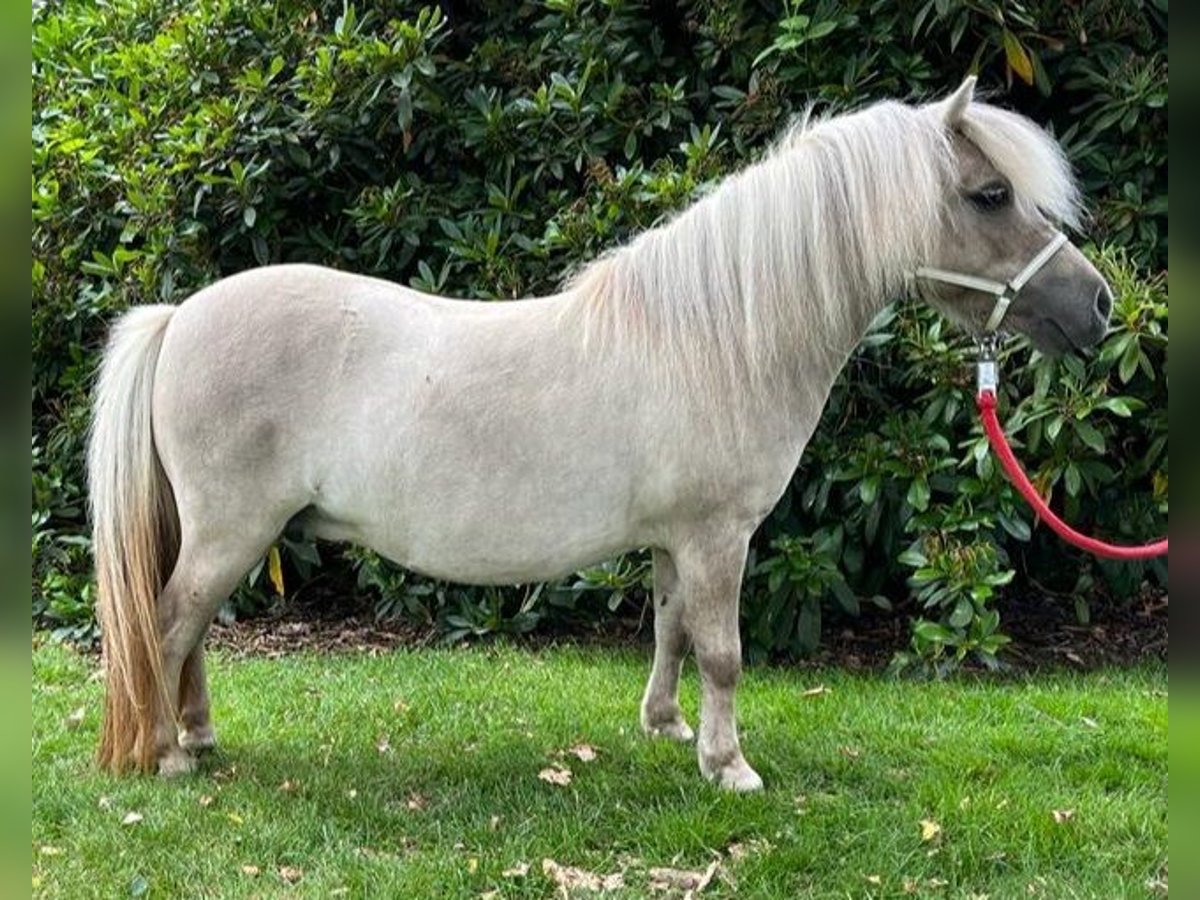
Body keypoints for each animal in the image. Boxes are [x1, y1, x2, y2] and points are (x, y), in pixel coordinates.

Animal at [88, 81, 1108, 792]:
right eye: (988, 194)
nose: (1097, 306)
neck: (717, 337)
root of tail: (180, 316)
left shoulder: (676, 541)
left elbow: (671, 631)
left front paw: (667, 731)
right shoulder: (718, 537)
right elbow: (724, 652)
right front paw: (731, 769)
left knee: (192, 630)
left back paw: (198, 737)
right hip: (231, 530)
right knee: (171, 623)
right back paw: (171, 756)